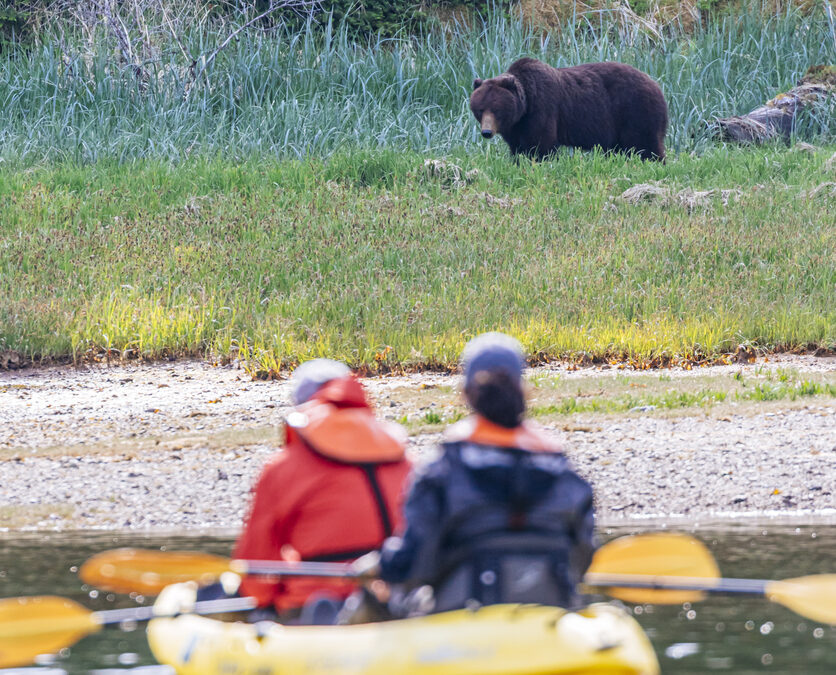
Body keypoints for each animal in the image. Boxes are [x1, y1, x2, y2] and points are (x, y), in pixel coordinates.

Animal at [474, 57, 668, 161]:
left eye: (497, 109)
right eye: (480, 109)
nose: (486, 132)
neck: (525, 106)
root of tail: (656, 85)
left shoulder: (542, 109)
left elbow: (541, 145)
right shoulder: (517, 126)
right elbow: (518, 149)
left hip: (635, 111)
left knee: (646, 146)